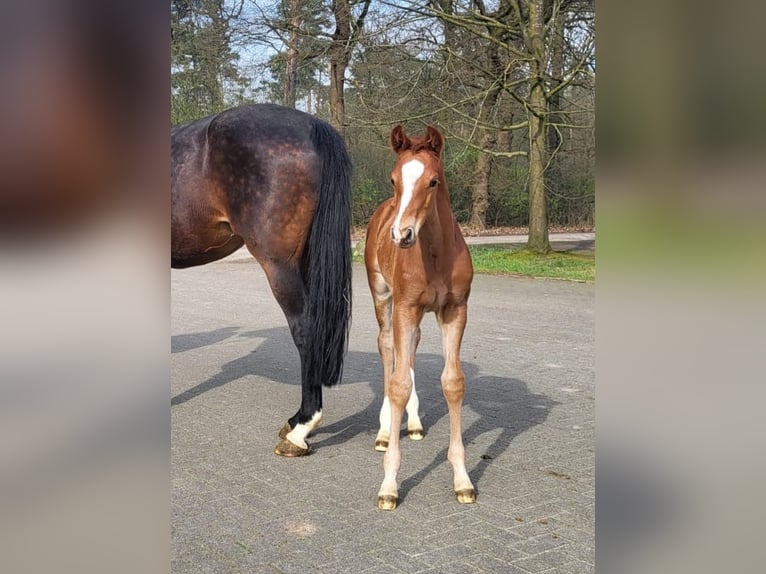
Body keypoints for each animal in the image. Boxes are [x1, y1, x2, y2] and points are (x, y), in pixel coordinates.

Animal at [364, 126, 476, 512]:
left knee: (409, 349)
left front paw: (462, 479)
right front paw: (388, 485)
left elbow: (452, 382)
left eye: (433, 181)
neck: (436, 253)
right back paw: (385, 431)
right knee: (387, 349)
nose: (401, 235)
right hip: (383, 296)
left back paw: (412, 423)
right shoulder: (405, 306)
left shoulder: (455, 310)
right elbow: (397, 383)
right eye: (393, 178)